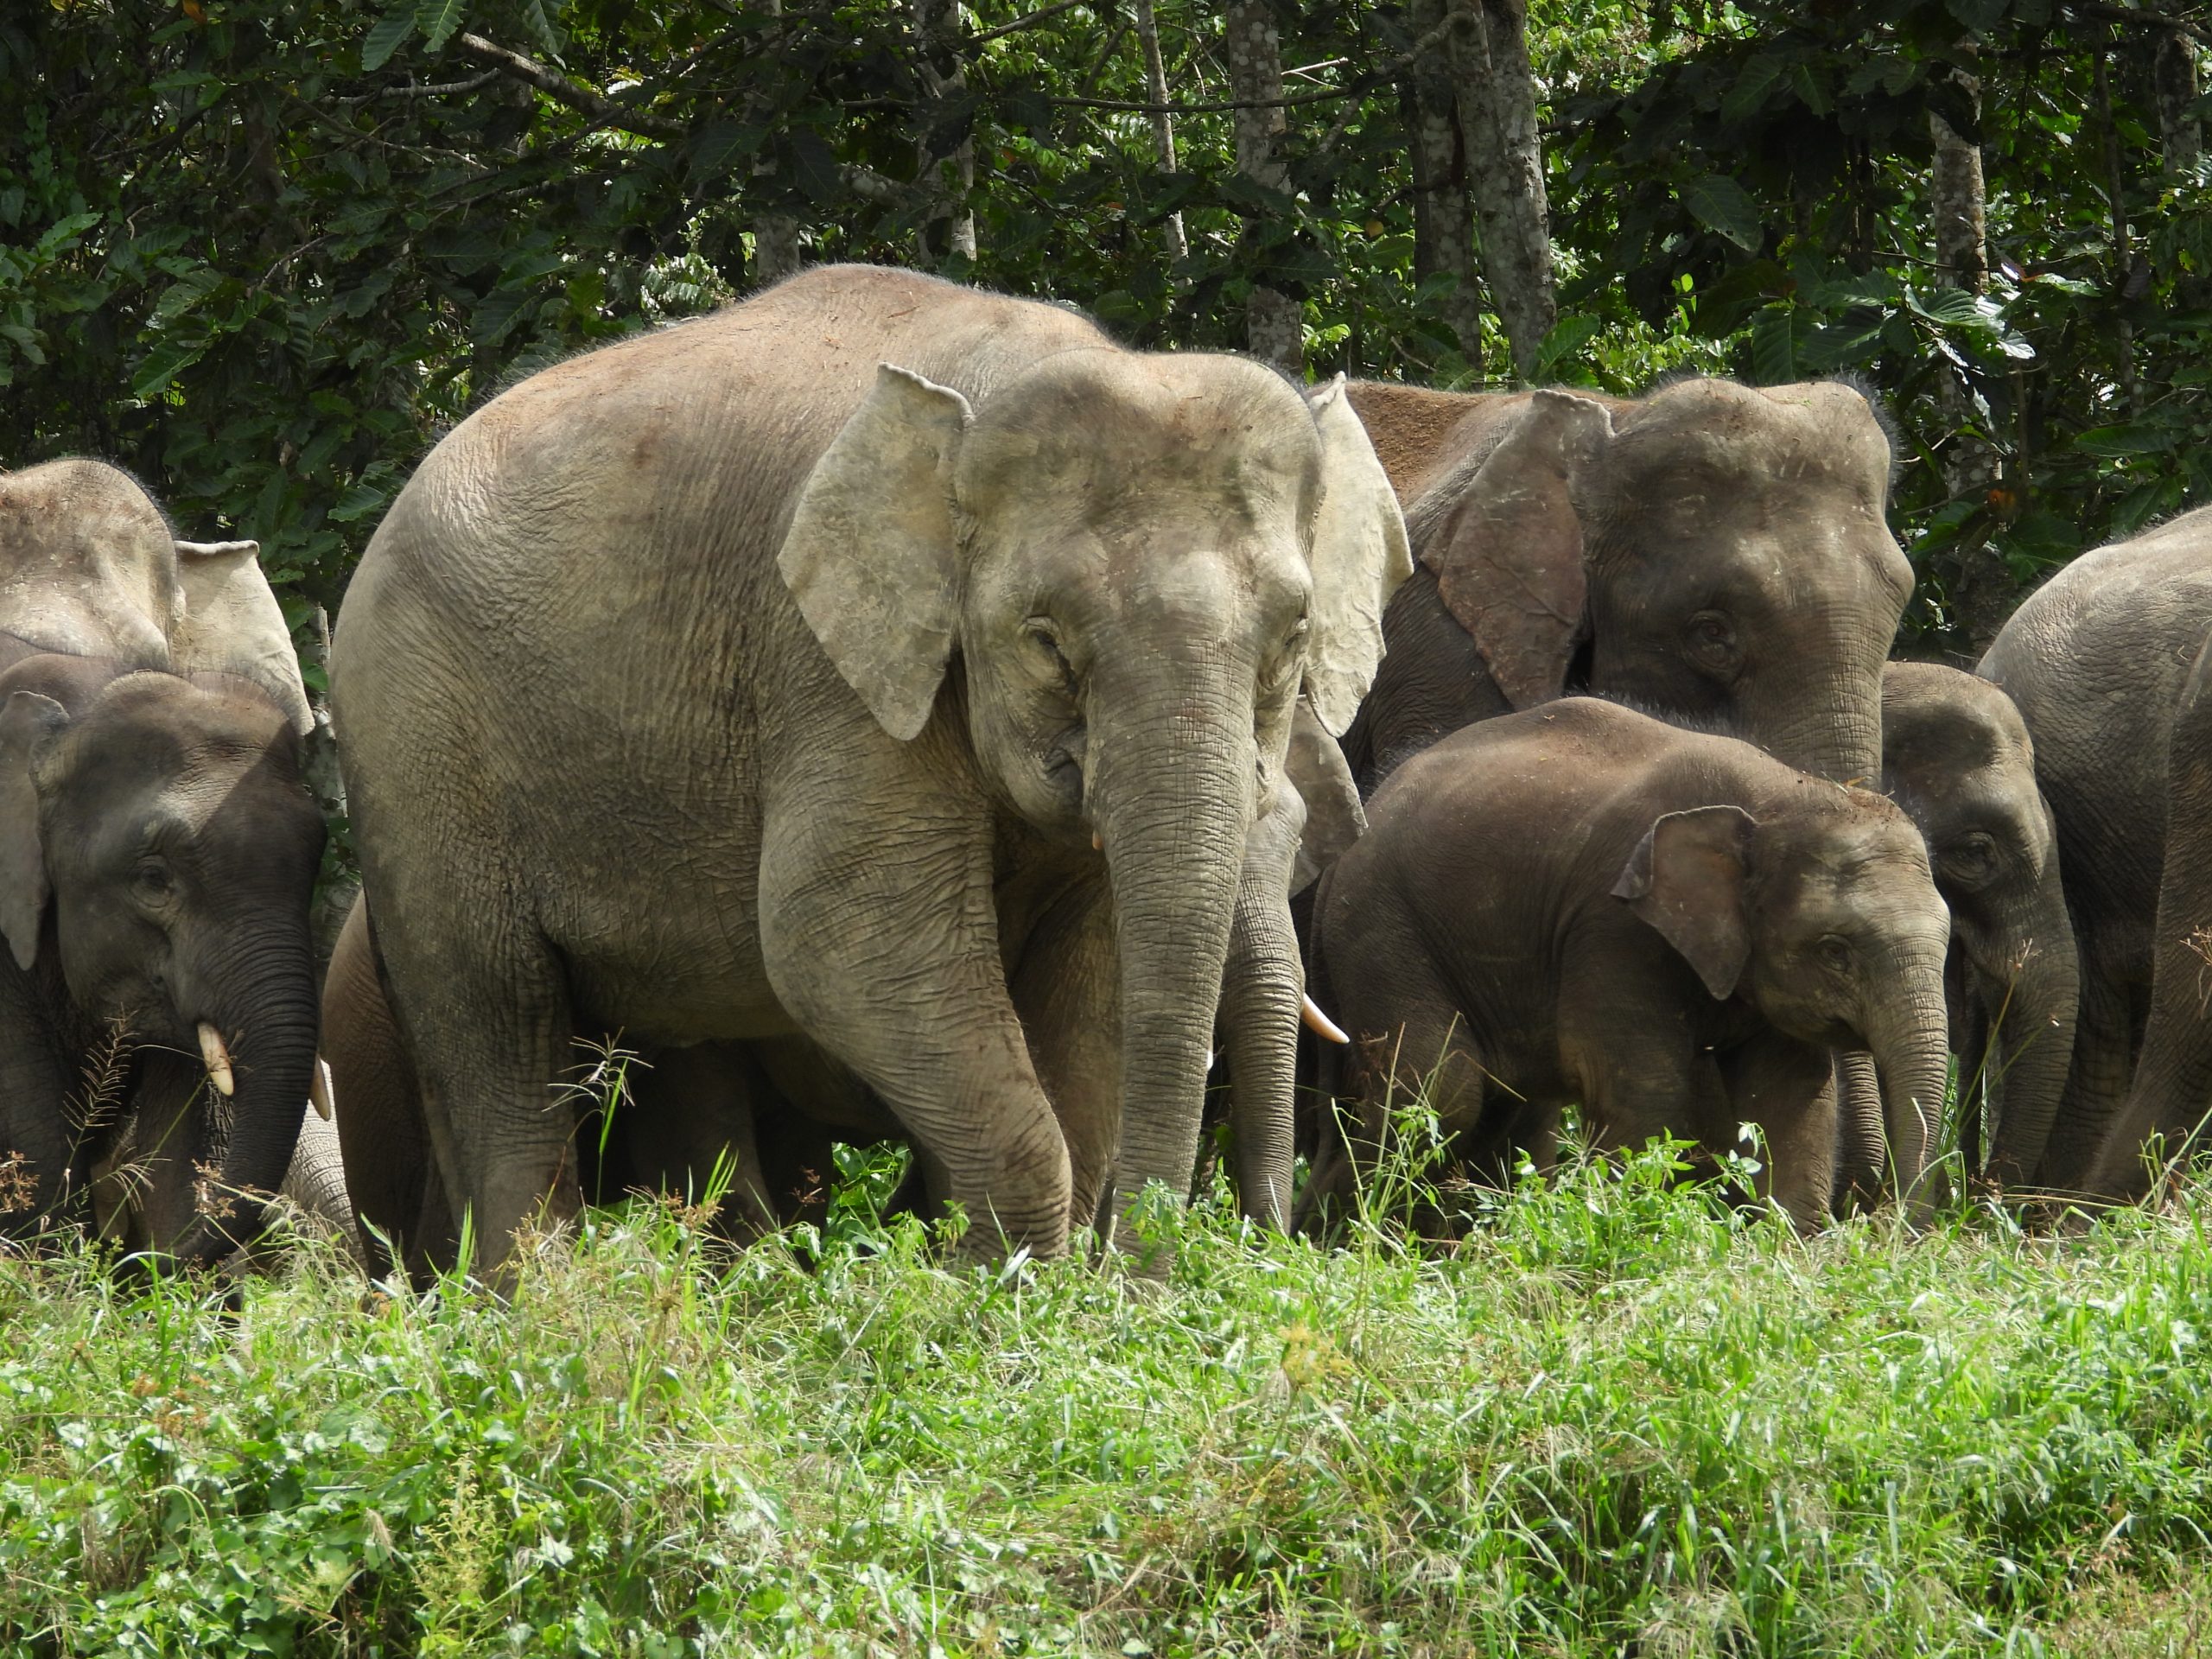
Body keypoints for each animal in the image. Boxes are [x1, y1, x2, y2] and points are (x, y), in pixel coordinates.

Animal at [329, 264, 1410, 1274]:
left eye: (1294, 632)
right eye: (1044, 639)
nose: (1137, 1288)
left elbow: (1090, 979)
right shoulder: (826, 667)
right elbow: (840, 934)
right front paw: (1002, 1298)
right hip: (416, 746)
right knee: (501, 1036)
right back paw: (536, 1302)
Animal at [1303, 696, 1954, 1231]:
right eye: (1834, 951)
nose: (1887, 1227)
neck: (1782, 796)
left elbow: (1789, 1100)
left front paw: (1790, 1249)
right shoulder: (1611, 927)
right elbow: (1647, 1095)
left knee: (1495, 1105)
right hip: (1381, 928)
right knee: (1443, 1089)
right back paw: (1340, 1238)